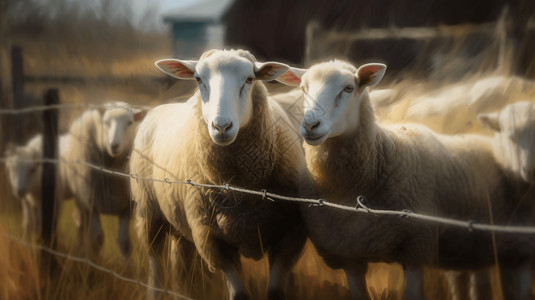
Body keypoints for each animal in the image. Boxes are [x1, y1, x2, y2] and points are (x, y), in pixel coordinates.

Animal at [63, 102, 147, 258]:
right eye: (106, 122)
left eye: (129, 122)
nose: (114, 145)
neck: (111, 170)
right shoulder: (90, 204)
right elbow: (97, 240)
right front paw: (94, 261)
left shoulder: (126, 207)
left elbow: (124, 243)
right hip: (81, 196)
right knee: (79, 221)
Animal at [131, 49, 310, 300]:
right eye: (198, 79)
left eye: (250, 79)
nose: (221, 127)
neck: (240, 190)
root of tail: (158, 108)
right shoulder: (213, 241)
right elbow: (239, 295)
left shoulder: (290, 235)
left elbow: (275, 292)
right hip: (148, 213)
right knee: (156, 267)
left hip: (179, 219)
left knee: (180, 266)